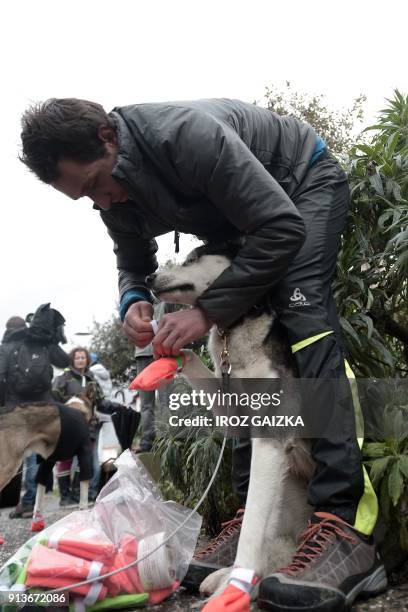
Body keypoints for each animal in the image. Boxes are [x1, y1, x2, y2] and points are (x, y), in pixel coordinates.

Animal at [145, 243, 314, 596]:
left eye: (192, 259)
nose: (148, 277)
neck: (233, 329)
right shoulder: (233, 412)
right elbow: (192, 359)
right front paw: (169, 349)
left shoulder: (269, 440)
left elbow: (250, 525)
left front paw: (234, 587)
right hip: (286, 489)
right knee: (277, 542)